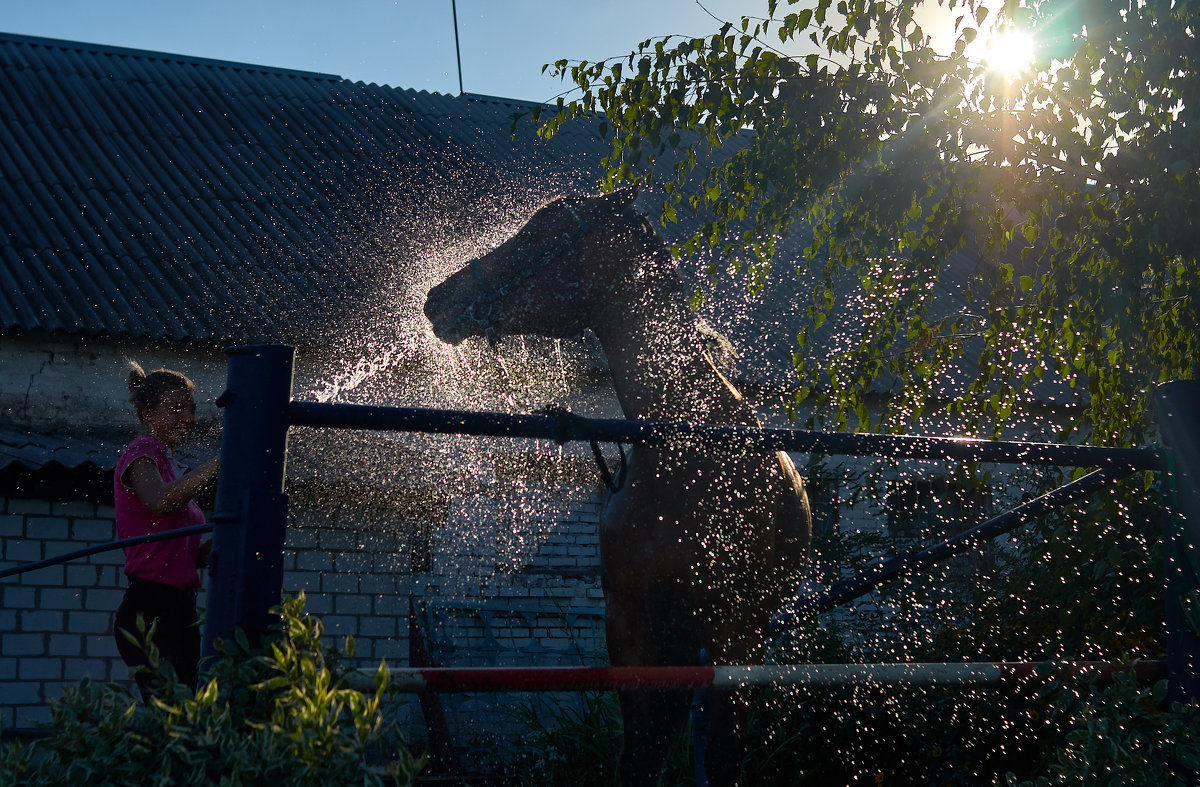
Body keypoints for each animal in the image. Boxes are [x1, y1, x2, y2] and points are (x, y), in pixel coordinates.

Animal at [424, 187, 816, 782]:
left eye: (544, 232)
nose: (439, 298)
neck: (686, 443)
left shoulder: (735, 629)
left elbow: (720, 756)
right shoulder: (631, 623)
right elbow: (639, 756)